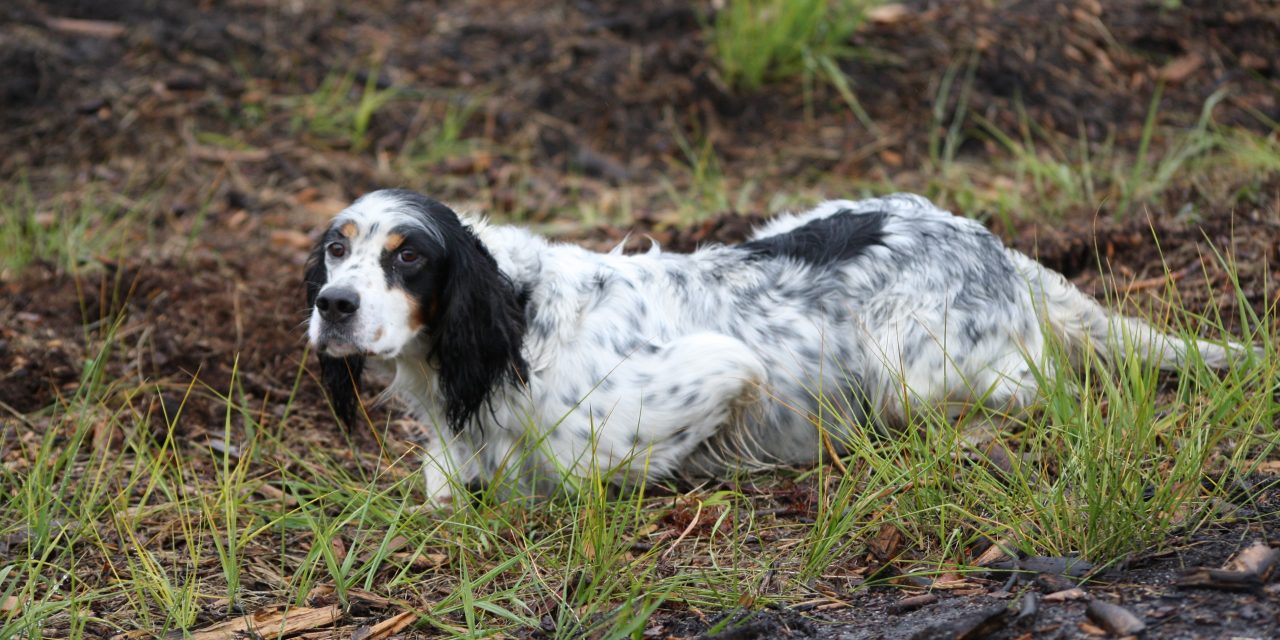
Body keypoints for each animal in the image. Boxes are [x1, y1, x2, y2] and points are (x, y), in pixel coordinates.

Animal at [302, 186, 1249, 501]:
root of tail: (990, 239)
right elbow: (444, 485)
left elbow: (575, 473)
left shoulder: (723, 368)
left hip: (912, 375)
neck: (511, 326)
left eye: (410, 256)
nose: (332, 305)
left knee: (1041, 387)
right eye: (337, 248)